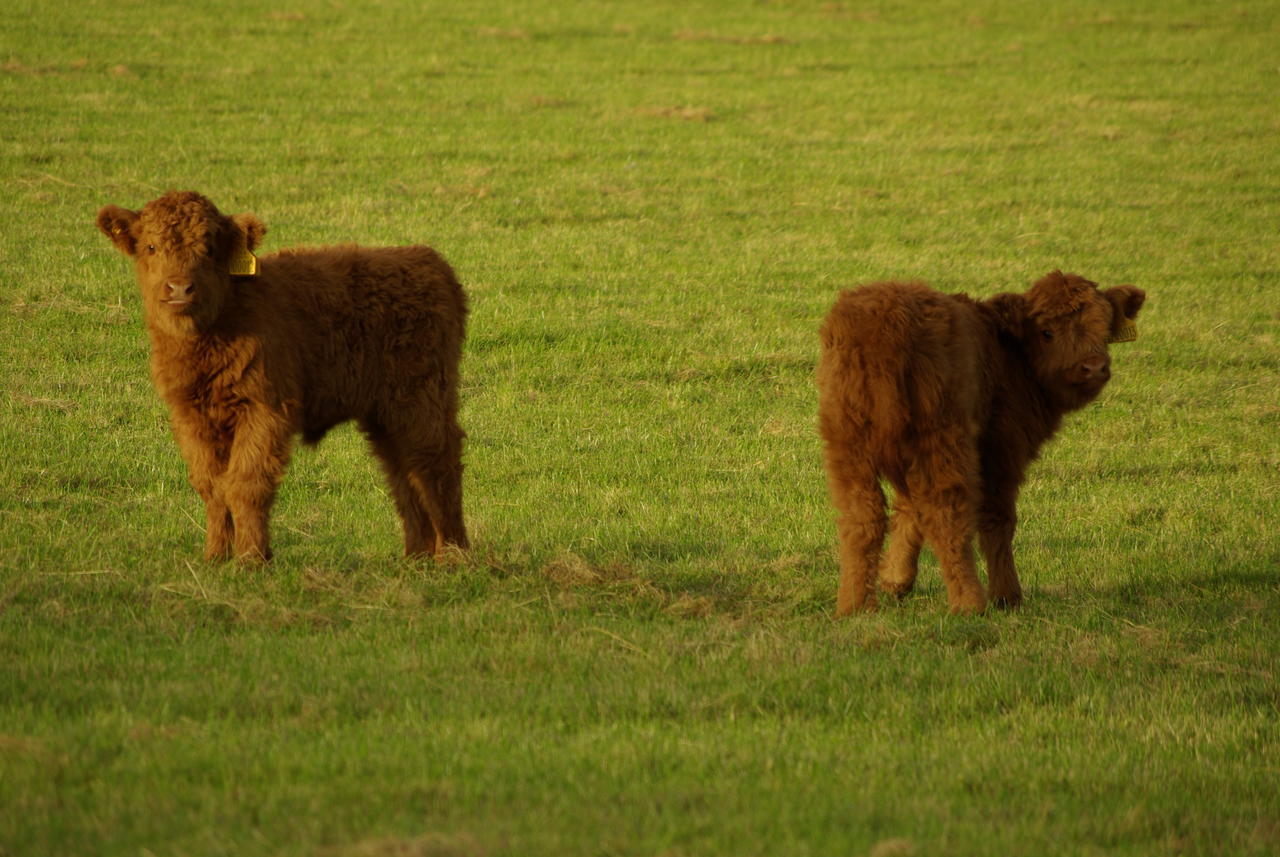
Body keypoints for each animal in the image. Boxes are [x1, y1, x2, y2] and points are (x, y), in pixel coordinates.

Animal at [98, 189, 471, 562]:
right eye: (150, 246)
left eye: (210, 247)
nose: (179, 288)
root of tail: (428, 260)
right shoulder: (190, 416)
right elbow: (212, 486)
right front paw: (216, 557)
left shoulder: (265, 410)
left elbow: (246, 484)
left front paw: (251, 558)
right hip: (386, 414)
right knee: (403, 472)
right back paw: (417, 555)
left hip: (422, 400)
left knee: (437, 466)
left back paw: (453, 555)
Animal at [814, 272, 1146, 613]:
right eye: (1047, 332)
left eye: (1104, 328)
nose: (1094, 366)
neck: (1008, 354)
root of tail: (887, 319)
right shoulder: (1002, 450)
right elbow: (997, 519)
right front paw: (1007, 596)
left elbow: (908, 509)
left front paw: (895, 579)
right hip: (943, 440)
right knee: (946, 513)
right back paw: (969, 602)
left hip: (849, 445)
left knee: (862, 517)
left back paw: (855, 605)